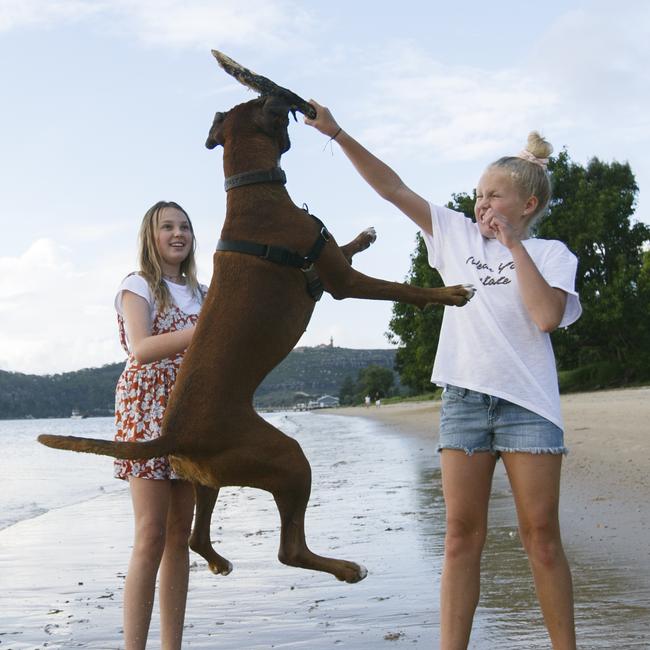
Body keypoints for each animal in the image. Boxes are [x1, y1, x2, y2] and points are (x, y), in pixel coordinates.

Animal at [39, 54, 470, 584]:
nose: (304, 105)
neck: (252, 190)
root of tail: (174, 434)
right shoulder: (342, 281)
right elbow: (397, 287)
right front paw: (450, 293)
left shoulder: (329, 264)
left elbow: (346, 247)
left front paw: (365, 236)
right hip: (285, 458)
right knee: (290, 549)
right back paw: (347, 568)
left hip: (206, 477)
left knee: (197, 536)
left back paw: (219, 560)